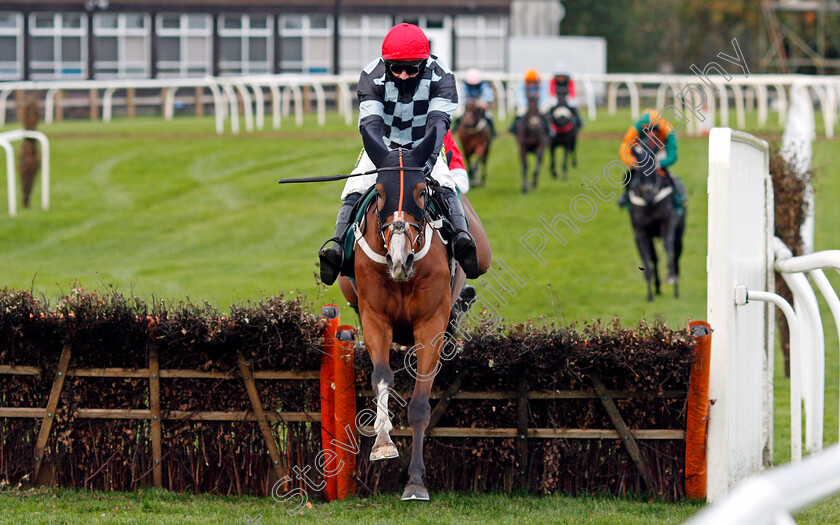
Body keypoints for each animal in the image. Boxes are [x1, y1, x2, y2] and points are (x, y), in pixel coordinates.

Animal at [336, 131, 488, 500]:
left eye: (421, 191)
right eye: (378, 192)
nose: (399, 259)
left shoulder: (431, 323)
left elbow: (419, 402)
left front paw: (416, 480)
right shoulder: (375, 318)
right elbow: (382, 377)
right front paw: (383, 444)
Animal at [628, 141, 684, 300]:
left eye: (653, 164)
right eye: (639, 168)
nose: (648, 190)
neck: (650, 202)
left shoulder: (668, 224)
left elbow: (669, 249)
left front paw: (674, 284)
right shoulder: (640, 232)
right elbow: (646, 259)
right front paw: (650, 294)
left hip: (679, 232)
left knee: (677, 253)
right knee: (654, 258)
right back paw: (657, 287)